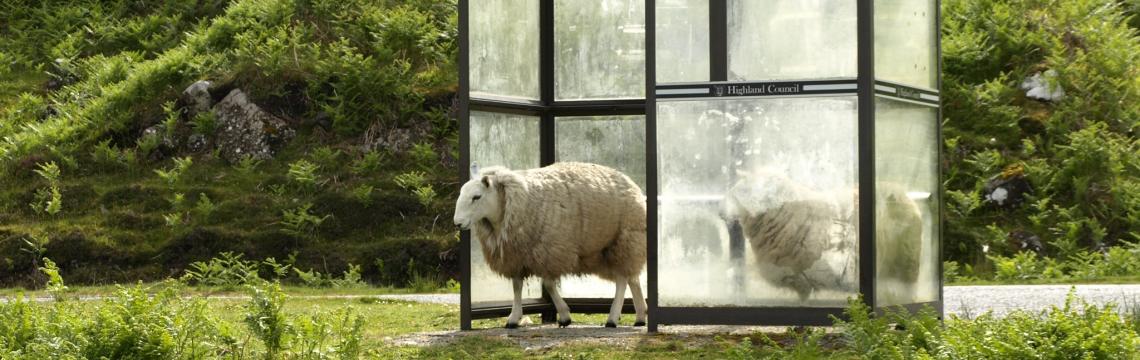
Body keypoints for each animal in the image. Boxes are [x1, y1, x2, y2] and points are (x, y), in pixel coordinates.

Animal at [453, 162, 652, 328]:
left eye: (476, 197)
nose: (457, 223)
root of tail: (633, 185)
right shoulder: (516, 255)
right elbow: (517, 287)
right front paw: (514, 318)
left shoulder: (550, 251)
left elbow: (548, 284)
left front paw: (564, 316)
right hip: (610, 249)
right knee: (632, 278)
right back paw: (640, 316)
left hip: (623, 241)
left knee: (622, 280)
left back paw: (612, 318)